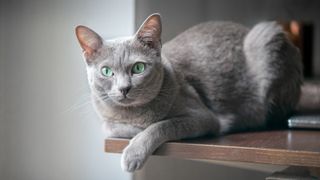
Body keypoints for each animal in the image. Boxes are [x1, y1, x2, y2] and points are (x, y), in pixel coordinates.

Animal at [75, 13, 302, 172]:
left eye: (138, 68)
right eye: (106, 71)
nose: (124, 88)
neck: (133, 113)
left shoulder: (204, 118)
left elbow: (161, 125)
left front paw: (133, 152)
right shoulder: (108, 119)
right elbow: (109, 127)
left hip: (267, 37)